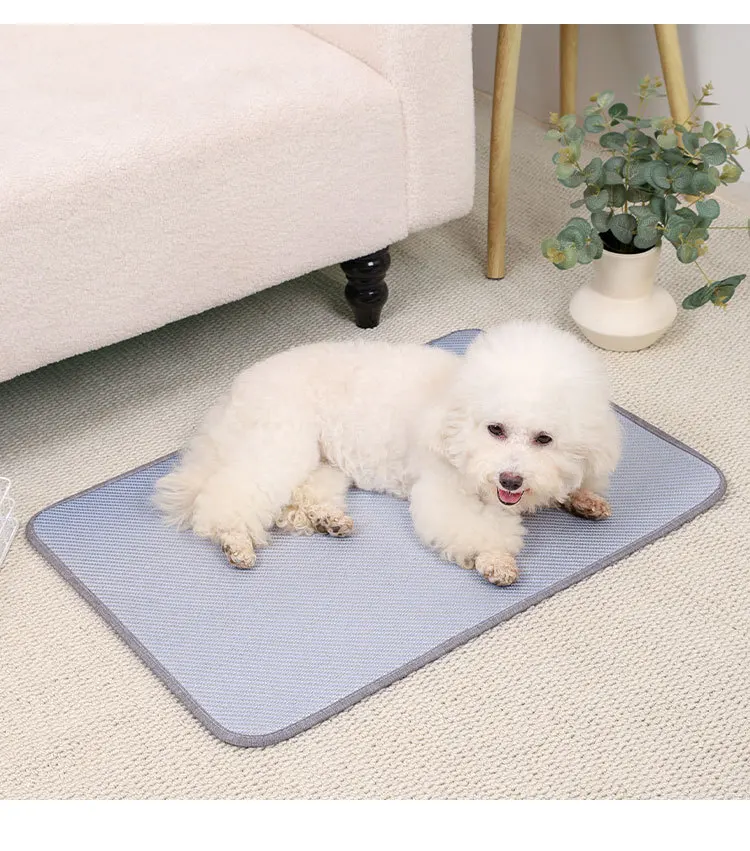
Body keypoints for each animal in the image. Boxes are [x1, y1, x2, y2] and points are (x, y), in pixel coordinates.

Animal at [154, 322, 620, 585]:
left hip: (321, 460)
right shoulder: (442, 491)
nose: (511, 479)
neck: (450, 408)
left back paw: (328, 520)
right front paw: (497, 560)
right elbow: (478, 529)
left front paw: (584, 498)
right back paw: (235, 540)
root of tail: (235, 389)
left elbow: (572, 482)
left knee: (298, 498)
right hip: (280, 440)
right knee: (229, 496)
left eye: (544, 439)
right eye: (495, 429)